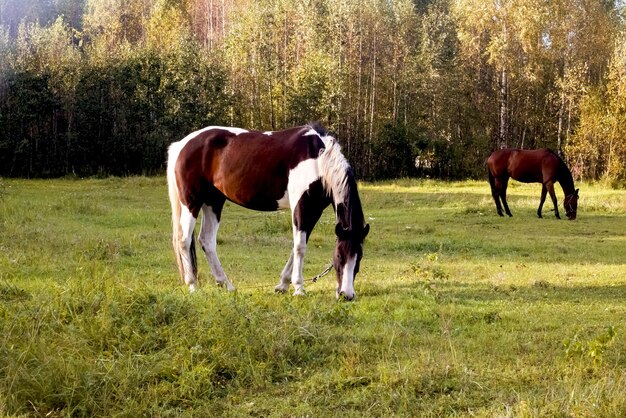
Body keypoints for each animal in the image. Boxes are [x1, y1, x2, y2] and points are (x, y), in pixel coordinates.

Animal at [168, 123, 368, 300]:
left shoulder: (314, 210)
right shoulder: (302, 206)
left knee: (207, 240)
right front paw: (299, 288)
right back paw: (193, 286)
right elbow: (300, 247)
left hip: (213, 202)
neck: (318, 160)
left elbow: (297, 246)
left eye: (359, 257)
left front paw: (283, 285)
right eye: (339, 255)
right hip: (191, 203)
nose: (346, 295)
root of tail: (182, 145)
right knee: (184, 240)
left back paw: (226, 285)